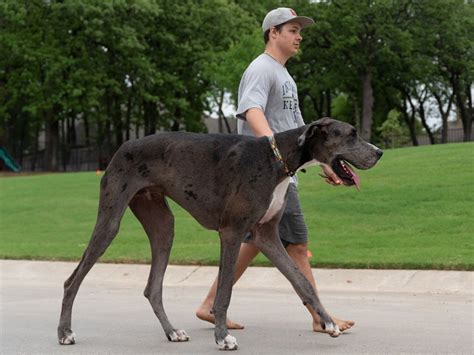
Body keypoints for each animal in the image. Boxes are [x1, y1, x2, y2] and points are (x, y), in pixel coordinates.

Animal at [57, 117, 384, 350]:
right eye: (351, 134)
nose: (380, 152)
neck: (277, 159)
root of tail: (123, 146)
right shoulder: (232, 232)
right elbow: (225, 290)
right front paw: (222, 337)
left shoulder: (266, 236)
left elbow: (301, 281)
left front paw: (328, 323)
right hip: (110, 221)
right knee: (73, 279)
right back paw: (65, 333)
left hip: (163, 225)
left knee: (153, 287)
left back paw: (172, 332)